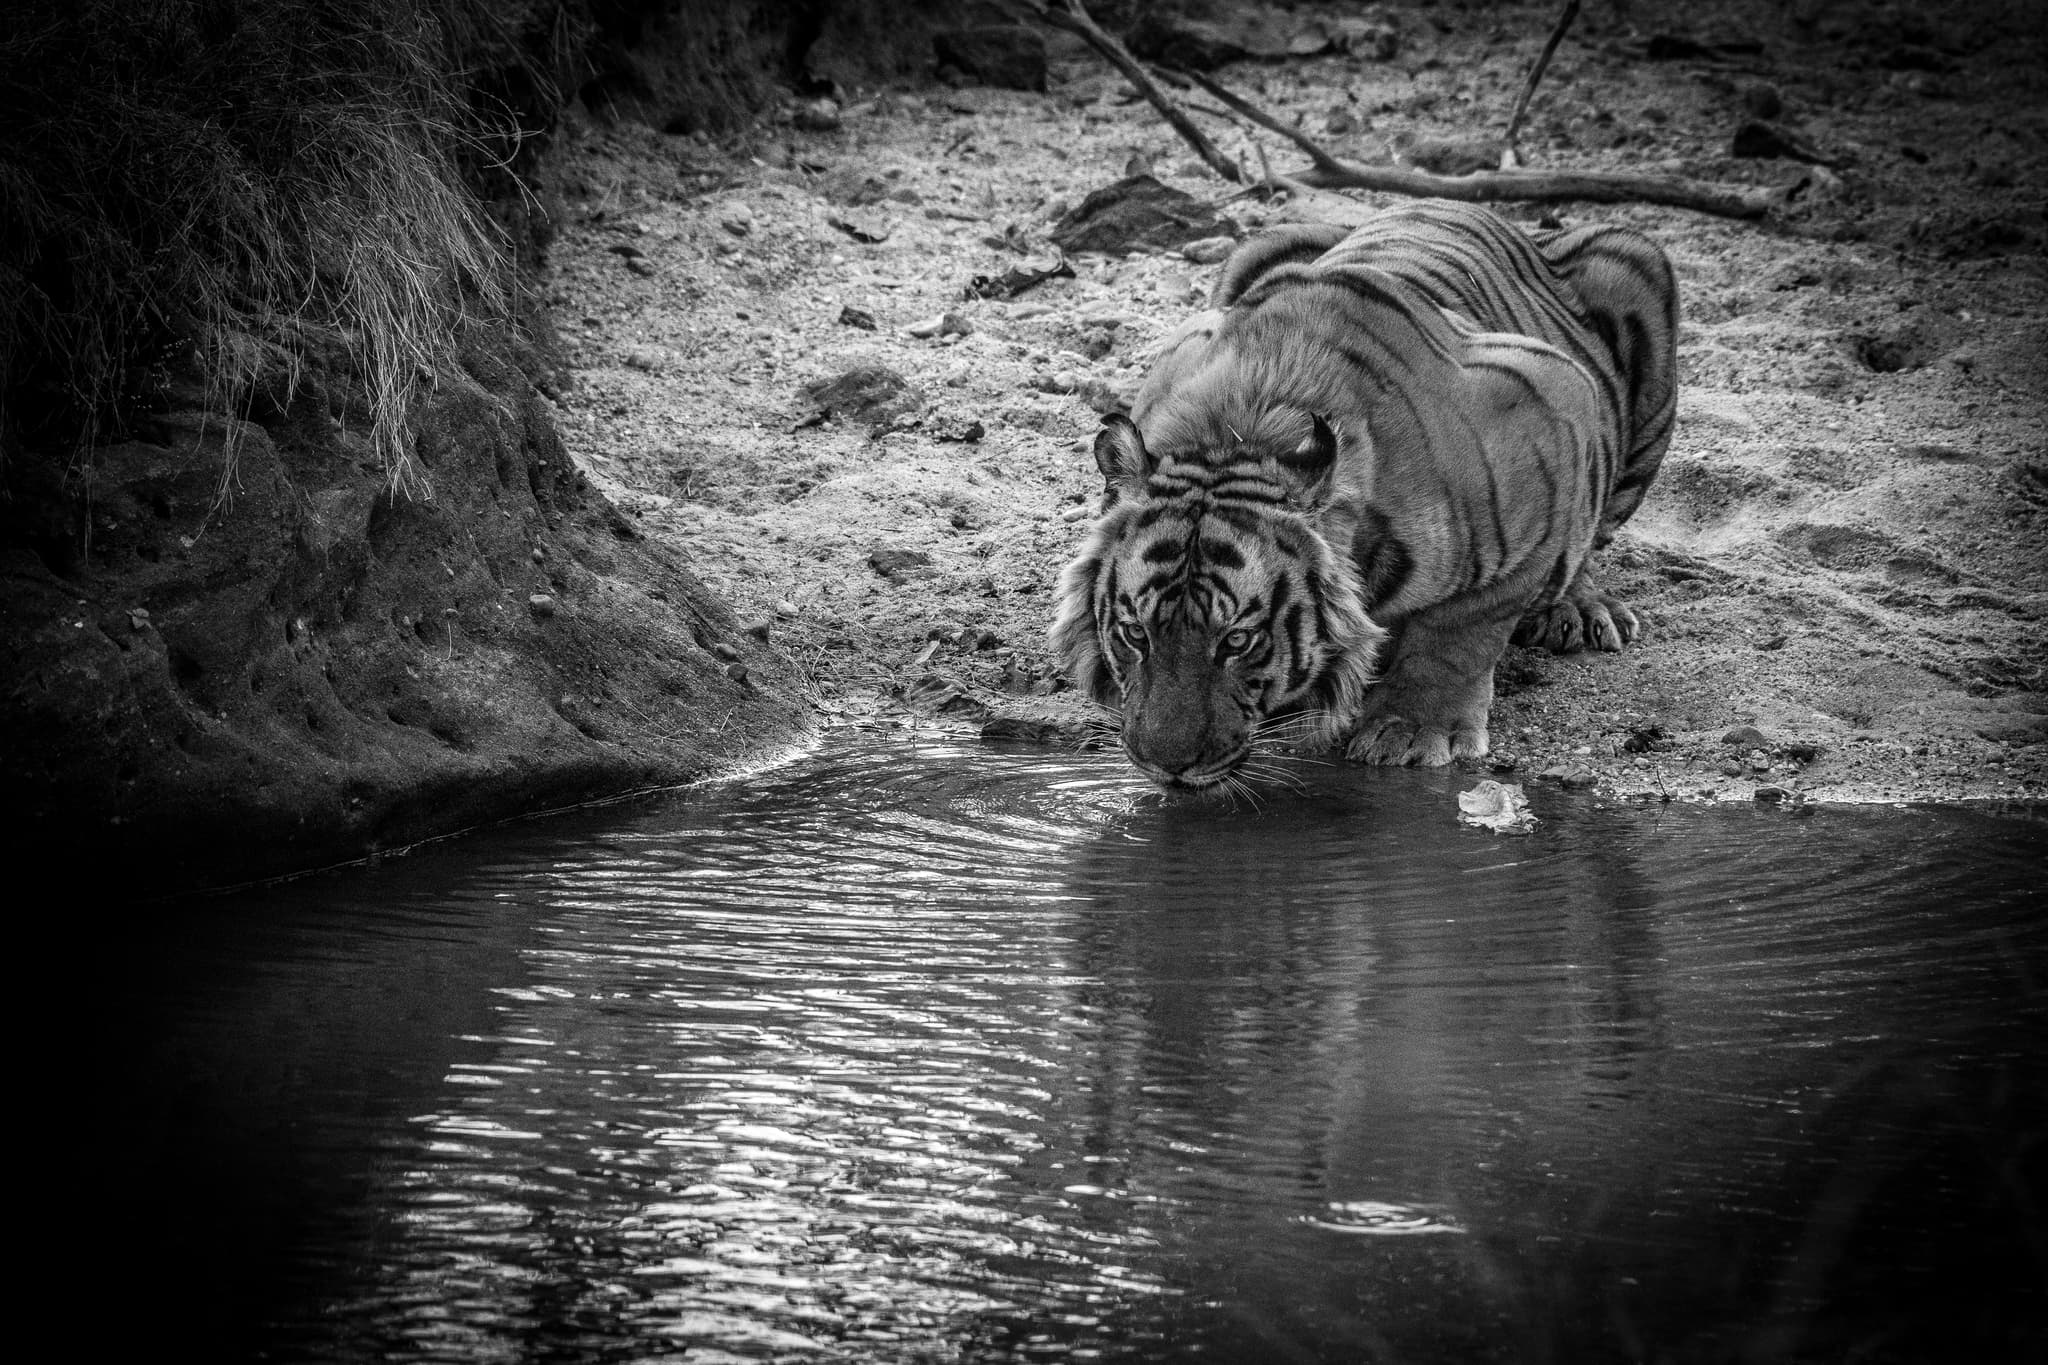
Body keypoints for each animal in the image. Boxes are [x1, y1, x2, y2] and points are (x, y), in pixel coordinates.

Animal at [1049, 198, 1678, 788]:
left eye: (1238, 640)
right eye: (1135, 633)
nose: (1167, 766)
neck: (1239, 431)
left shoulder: (1555, 398)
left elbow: (1465, 628)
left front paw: (1414, 730)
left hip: (1636, 266)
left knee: (1592, 532)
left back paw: (1580, 608)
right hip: (1261, 243)